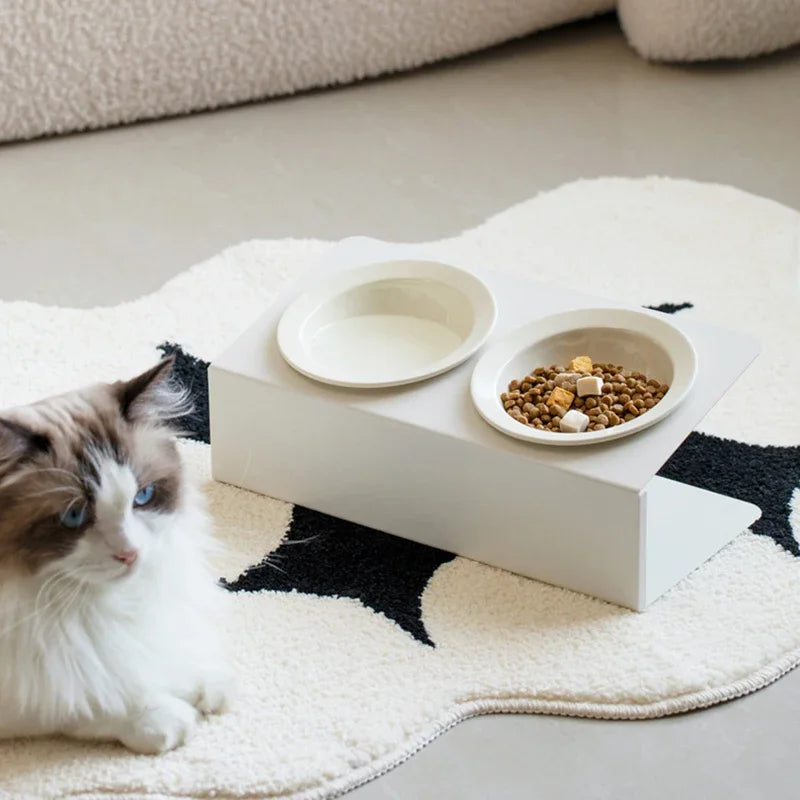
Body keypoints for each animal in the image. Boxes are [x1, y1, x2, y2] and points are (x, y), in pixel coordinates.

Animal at [0, 360, 231, 752]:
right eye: (74, 516)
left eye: (143, 496)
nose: (130, 553)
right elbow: (77, 698)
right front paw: (161, 717)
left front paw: (201, 680)